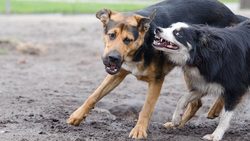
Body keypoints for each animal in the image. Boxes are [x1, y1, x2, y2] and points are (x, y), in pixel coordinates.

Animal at [67, 0, 247, 139]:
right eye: (111, 35)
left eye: (128, 40)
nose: (113, 58)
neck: (142, 46)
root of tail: (231, 13)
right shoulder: (118, 72)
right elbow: (94, 95)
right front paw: (77, 115)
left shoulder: (156, 80)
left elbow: (146, 108)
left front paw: (139, 130)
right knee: (197, 102)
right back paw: (178, 123)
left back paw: (215, 109)